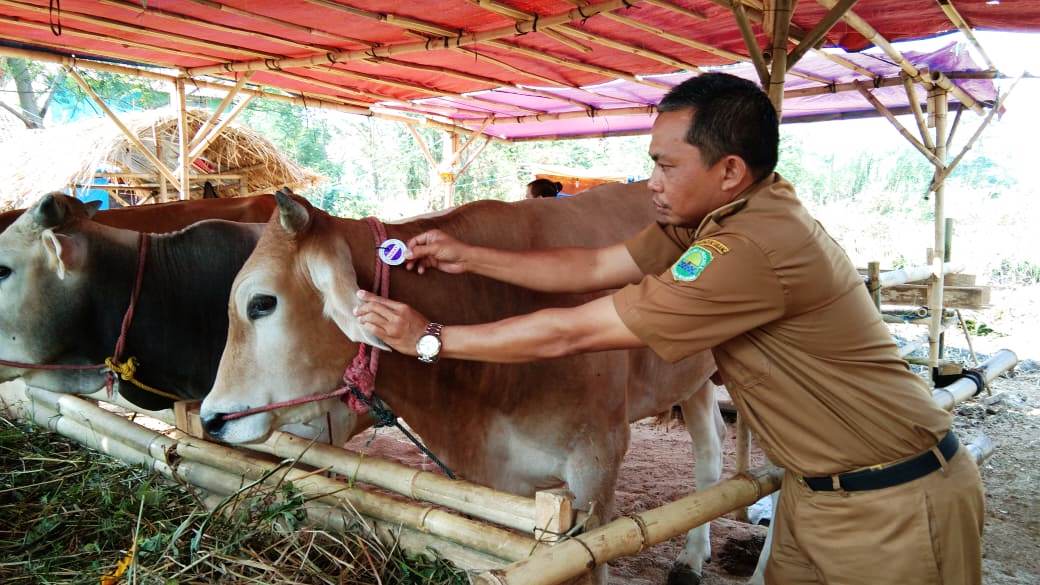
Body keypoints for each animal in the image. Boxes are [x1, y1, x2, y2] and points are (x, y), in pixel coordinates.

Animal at [202, 184, 757, 578]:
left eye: (261, 303)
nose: (211, 418)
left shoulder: (596, 469)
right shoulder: (495, 483)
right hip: (692, 380)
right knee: (711, 446)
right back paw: (694, 555)